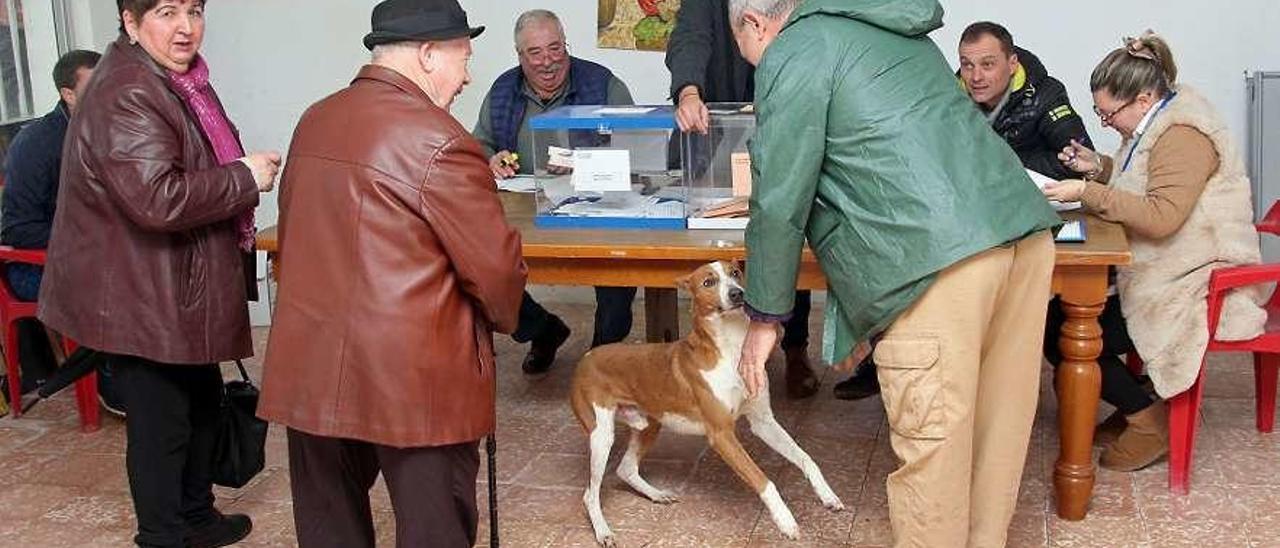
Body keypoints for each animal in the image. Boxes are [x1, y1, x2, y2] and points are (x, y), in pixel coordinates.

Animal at [573, 259, 849, 542]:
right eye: (708, 282)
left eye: (736, 274)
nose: (737, 293)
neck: (730, 347)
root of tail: (587, 357)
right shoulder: (721, 435)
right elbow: (763, 480)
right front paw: (785, 521)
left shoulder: (763, 422)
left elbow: (806, 458)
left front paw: (826, 494)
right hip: (601, 436)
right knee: (590, 494)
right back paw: (603, 531)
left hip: (650, 424)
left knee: (625, 468)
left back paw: (656, 495)